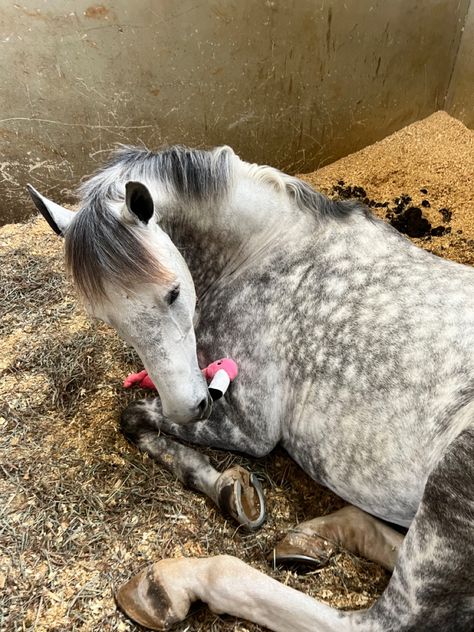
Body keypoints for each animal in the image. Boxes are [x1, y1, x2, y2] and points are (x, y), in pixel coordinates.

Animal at [29, 147, 474, 632]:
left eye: (173, 292)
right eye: (106, 317)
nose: (188, 407)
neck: (262, 252)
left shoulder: (250, 430)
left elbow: (132, 416)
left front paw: (225, 488)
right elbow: (134, 419)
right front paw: (226, 487)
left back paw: (168, 584)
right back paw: (311, 537)